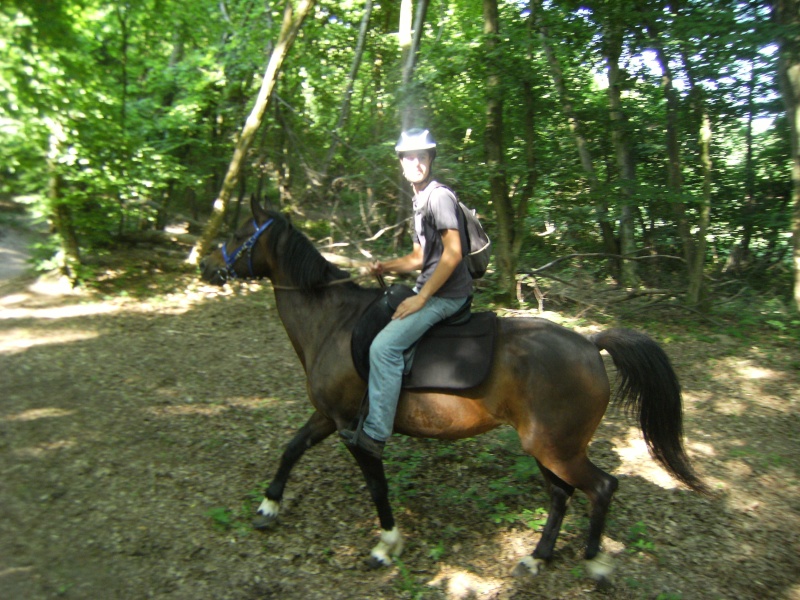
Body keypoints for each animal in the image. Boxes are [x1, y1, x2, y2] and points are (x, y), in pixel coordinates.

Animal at [200, 197, 708, 580]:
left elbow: (376, 485)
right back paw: (538, 557)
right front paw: (269, 505)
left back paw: (596, 564)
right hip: (546, 445)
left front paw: (387, 544)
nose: (205, 266)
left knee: (601, 488)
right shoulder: (328, 415)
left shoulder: (352, 426)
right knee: (560, 494)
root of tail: (590, 343)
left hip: (556, 446)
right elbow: (291, 448)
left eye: (239, 232)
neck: (334, 324)